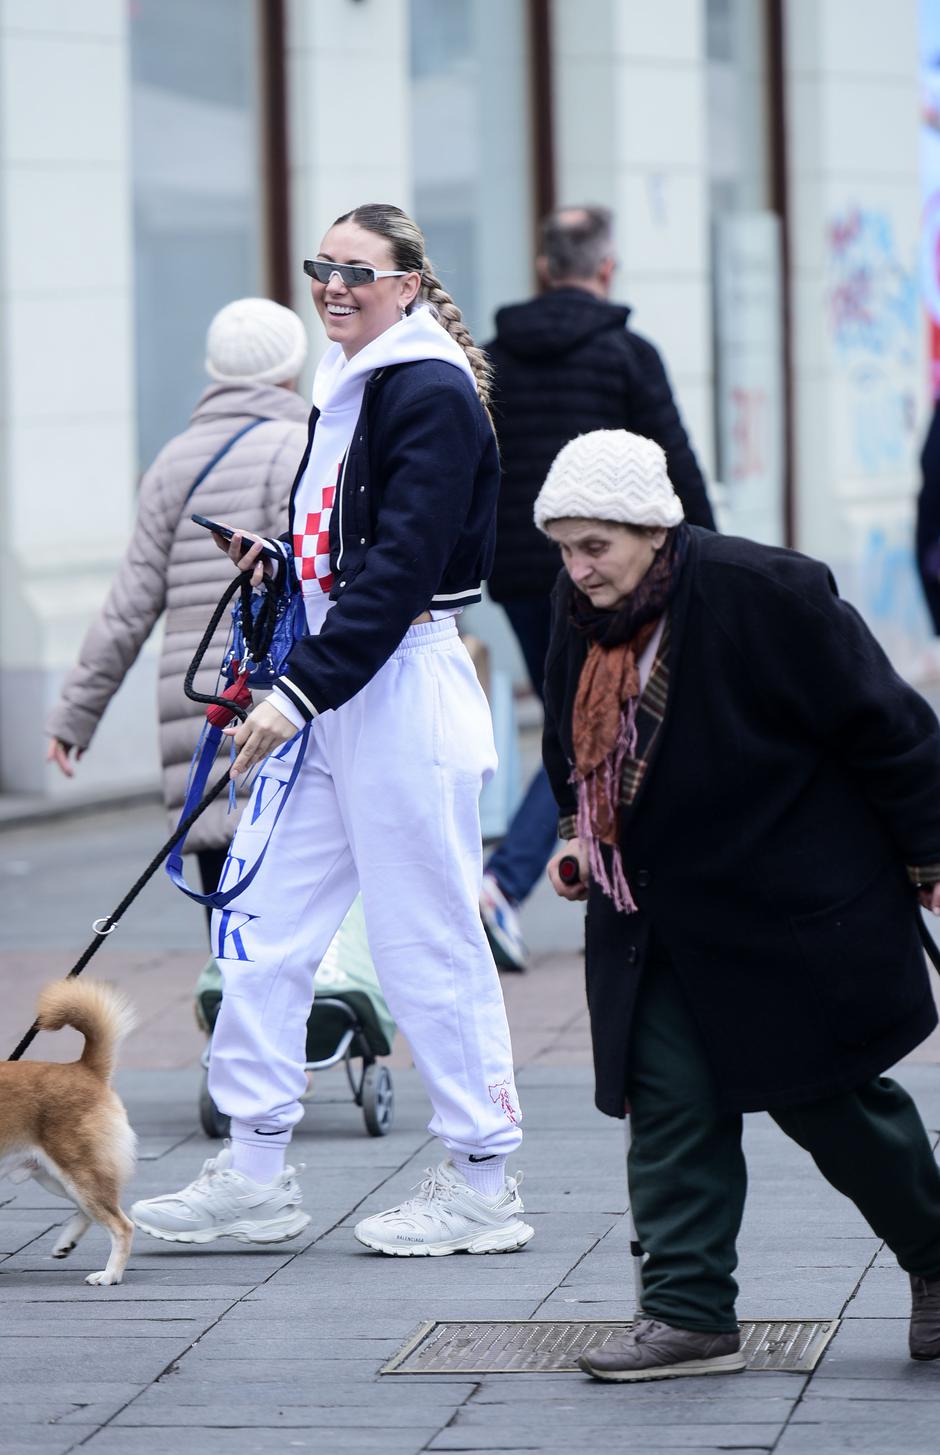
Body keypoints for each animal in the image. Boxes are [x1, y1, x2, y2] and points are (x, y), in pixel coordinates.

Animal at [0, 977, 138, 1286]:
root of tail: (84, 1068)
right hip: (56, 1178)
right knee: (91, 1213)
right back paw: (67, 1243)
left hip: (80, 1173)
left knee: (121, 1225)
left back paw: (110, 1275)